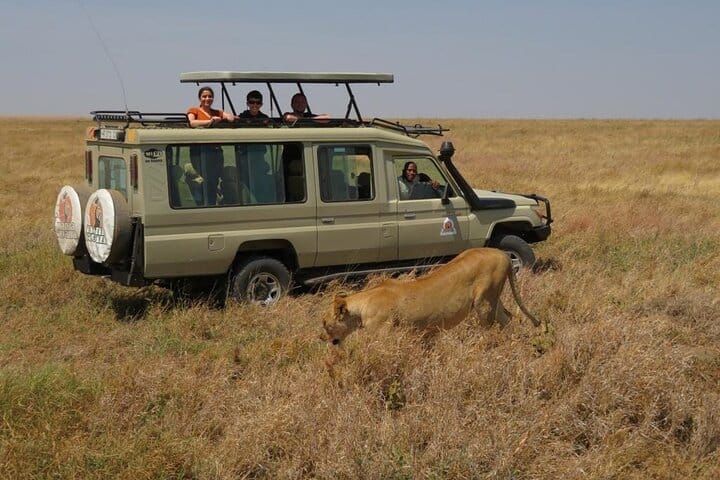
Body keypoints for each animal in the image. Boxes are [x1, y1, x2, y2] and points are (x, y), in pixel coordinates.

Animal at [322, 247, 543, 345]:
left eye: (325, 324)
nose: (321, 338)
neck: (362, 306)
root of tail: (502, 253)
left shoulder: (384, 334)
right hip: (493, 298)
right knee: (508, 319)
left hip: (484, 301)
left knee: (490, 329)